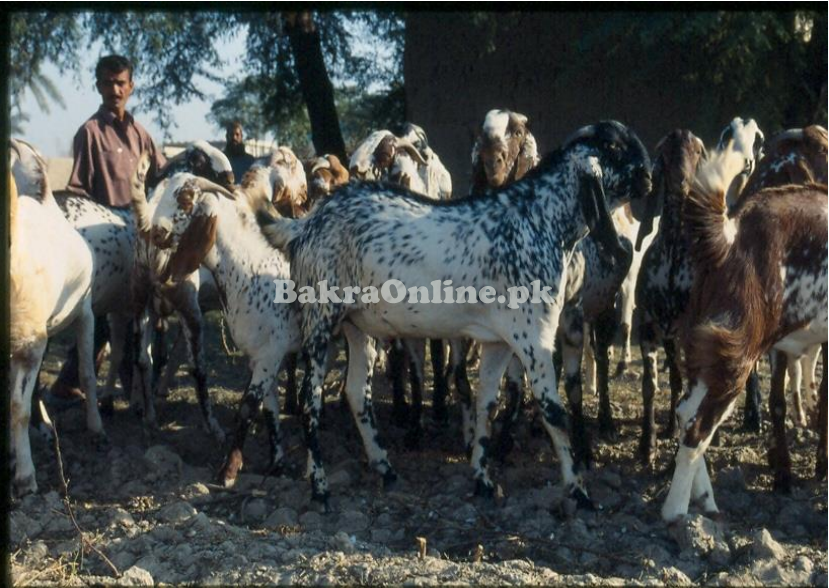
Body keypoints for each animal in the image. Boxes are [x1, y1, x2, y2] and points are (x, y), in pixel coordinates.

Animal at [256, 120, 652, 510]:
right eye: (614, 147)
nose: (647, 175)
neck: (536, 220)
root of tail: (306, 225)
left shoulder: (499, 342)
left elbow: (487, 405)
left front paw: (483, 480)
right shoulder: (534, 336)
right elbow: (553, 411)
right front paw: (579, 491)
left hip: (357, 326)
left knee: (356, 393)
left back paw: (385, 469)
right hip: (320, 319)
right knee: (310, 401)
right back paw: (320, 488)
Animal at [656, 145, 824, 520]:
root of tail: (730, 234)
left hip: (708, 348)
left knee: (686, 413)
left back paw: (706, 500)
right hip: (739, 352)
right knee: (698, 428)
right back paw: (676, 513)